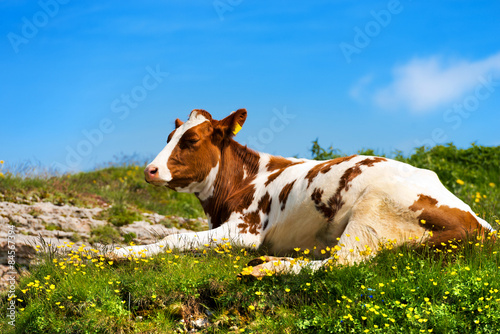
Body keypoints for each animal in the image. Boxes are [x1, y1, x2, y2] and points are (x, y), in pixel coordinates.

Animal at [112, 108, 492, 276]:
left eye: (190, 140)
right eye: (168, 137)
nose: (150, 170)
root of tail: (479, 225)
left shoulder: (244, 230)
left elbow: (174, 237)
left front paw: (120, 251)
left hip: (372, 214)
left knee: (338, 263)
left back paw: (264, 268)